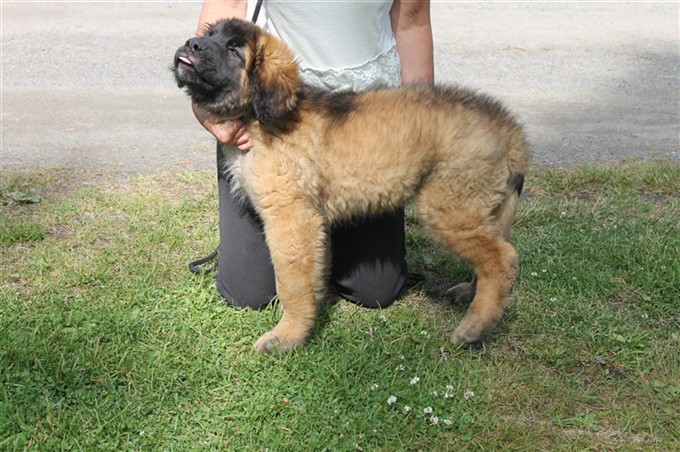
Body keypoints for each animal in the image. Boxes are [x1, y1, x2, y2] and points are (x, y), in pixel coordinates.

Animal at [173, 18, 528, 354]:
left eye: (234, 50)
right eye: (209, 35)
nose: (191, 44)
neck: (257, 116)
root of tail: (507, 126)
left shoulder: (291, 217)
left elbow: (290, 282)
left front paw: (287, 336)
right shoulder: (312, 222)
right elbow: (314, 271)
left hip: (449, 207)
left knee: (502, 259)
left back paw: (475, 325)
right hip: (485, 207)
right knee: (495, 255)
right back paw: (471, 295)